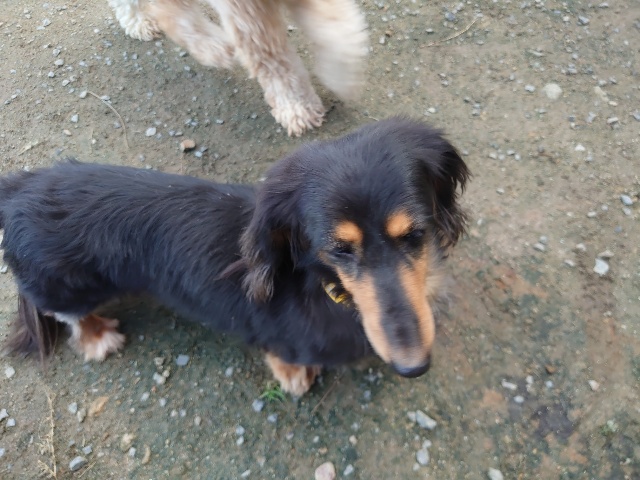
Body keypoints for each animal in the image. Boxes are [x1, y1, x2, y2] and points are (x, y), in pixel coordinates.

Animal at [0, 118, 469, 396]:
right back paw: (99, 335)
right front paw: (295, 375)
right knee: (67, 313)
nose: (413, 367)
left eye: (415, 234)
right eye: (339, 249)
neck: (323, 283)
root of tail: (18, 188)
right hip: (67, 286)